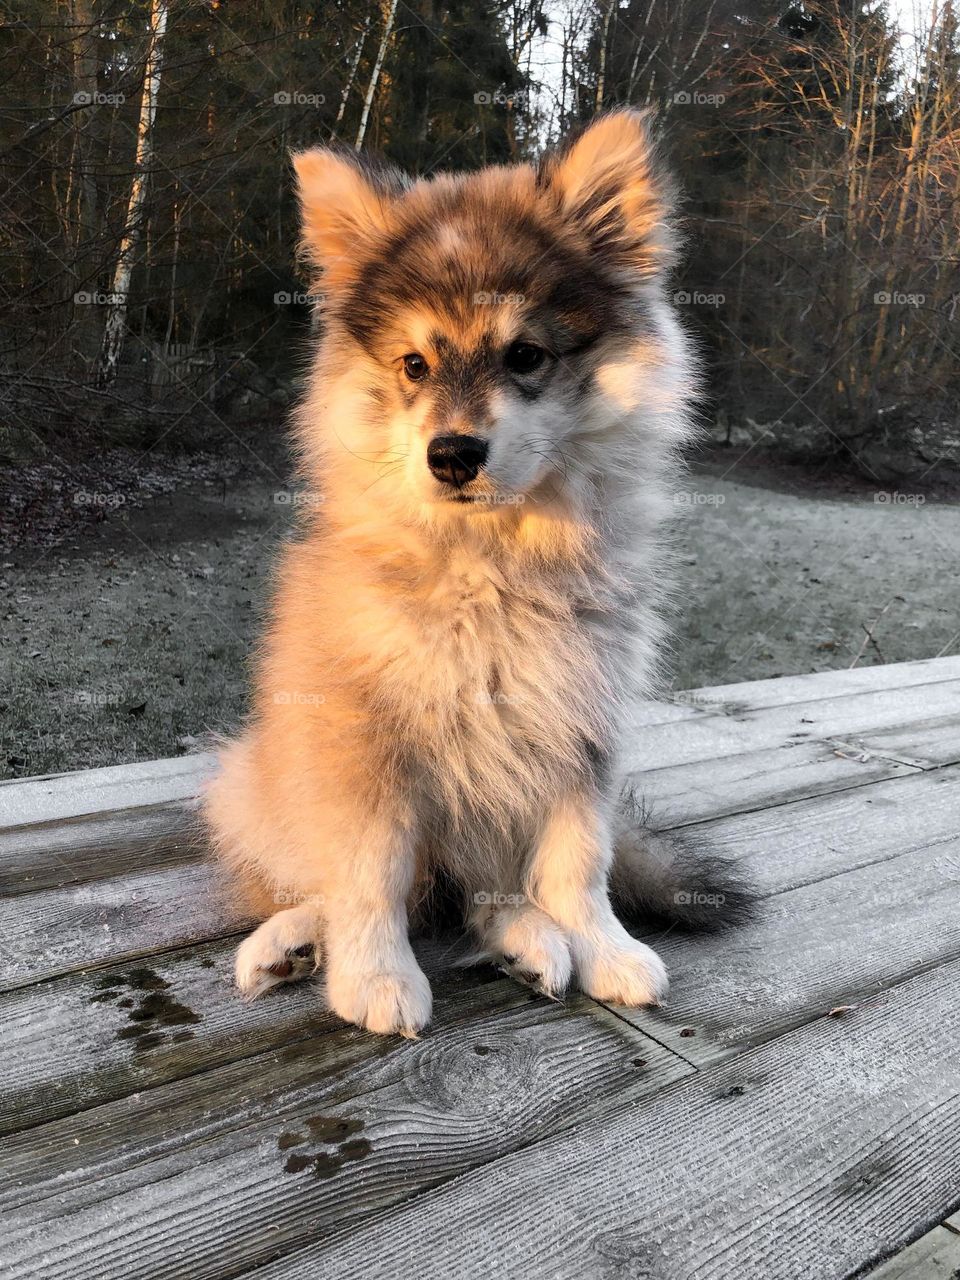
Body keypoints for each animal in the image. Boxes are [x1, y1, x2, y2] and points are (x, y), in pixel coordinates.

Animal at [204, 112, 752, 1039]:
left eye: (525, 355)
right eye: (414, 365)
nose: (452, 455)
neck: (487, 564)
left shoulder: (576, 726)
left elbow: (578, 861)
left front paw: (602, 947)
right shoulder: (364, 743)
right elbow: (371, 870)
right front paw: (375, 974)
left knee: (483, 898)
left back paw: (530, 942)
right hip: (255, 781)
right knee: (355, 884)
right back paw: (295, 940)